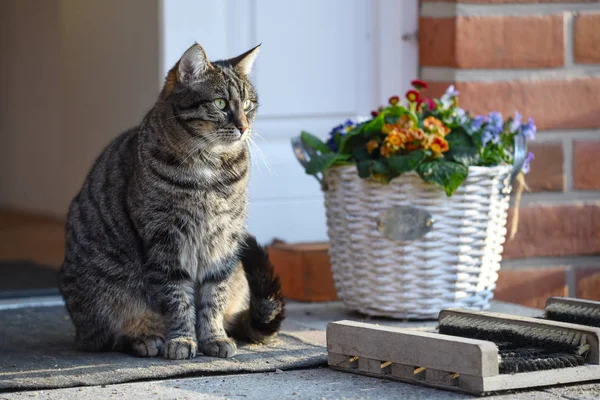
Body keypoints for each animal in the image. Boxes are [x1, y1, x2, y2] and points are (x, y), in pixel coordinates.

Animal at [59, 43, 284, 360]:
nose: (243, 127)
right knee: (108, 335)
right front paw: (183, 340)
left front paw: (214, 337)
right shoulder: (164, 238)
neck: (208, 168)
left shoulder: (224, 241)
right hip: (99, 294)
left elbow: (214, 296)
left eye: (249, 103)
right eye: (220, 103)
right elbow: (177, 297)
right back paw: (145, 339)